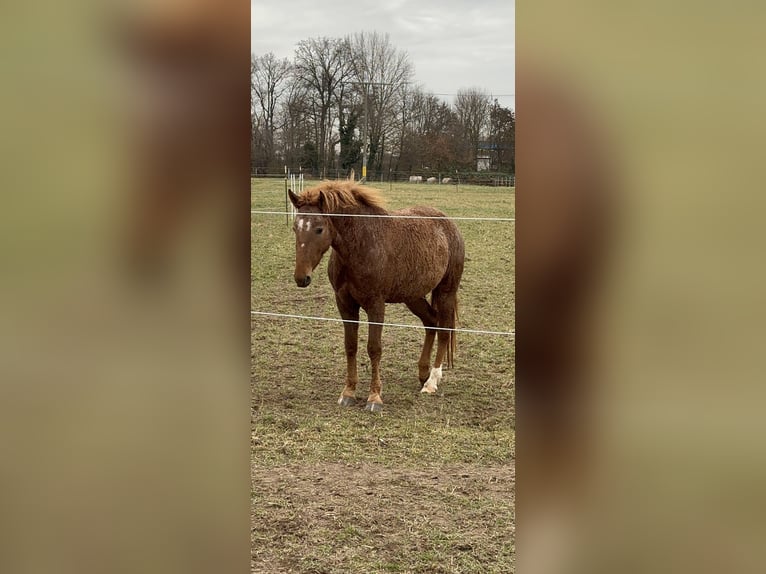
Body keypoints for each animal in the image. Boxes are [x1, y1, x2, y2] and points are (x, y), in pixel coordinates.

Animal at [288, 181, 465, 412]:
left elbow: (374, 349)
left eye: (319, 229)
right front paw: (348, 393)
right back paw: (423, 374)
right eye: (295, 228)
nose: (302, 278)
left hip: (446, 292)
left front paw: (374, 397)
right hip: (413, 297)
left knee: (444, 331)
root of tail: (448, 224)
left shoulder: (375, 305)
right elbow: (351, 346)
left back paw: (432, 382)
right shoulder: (345, 304)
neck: (362, 246)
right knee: (431, 322)